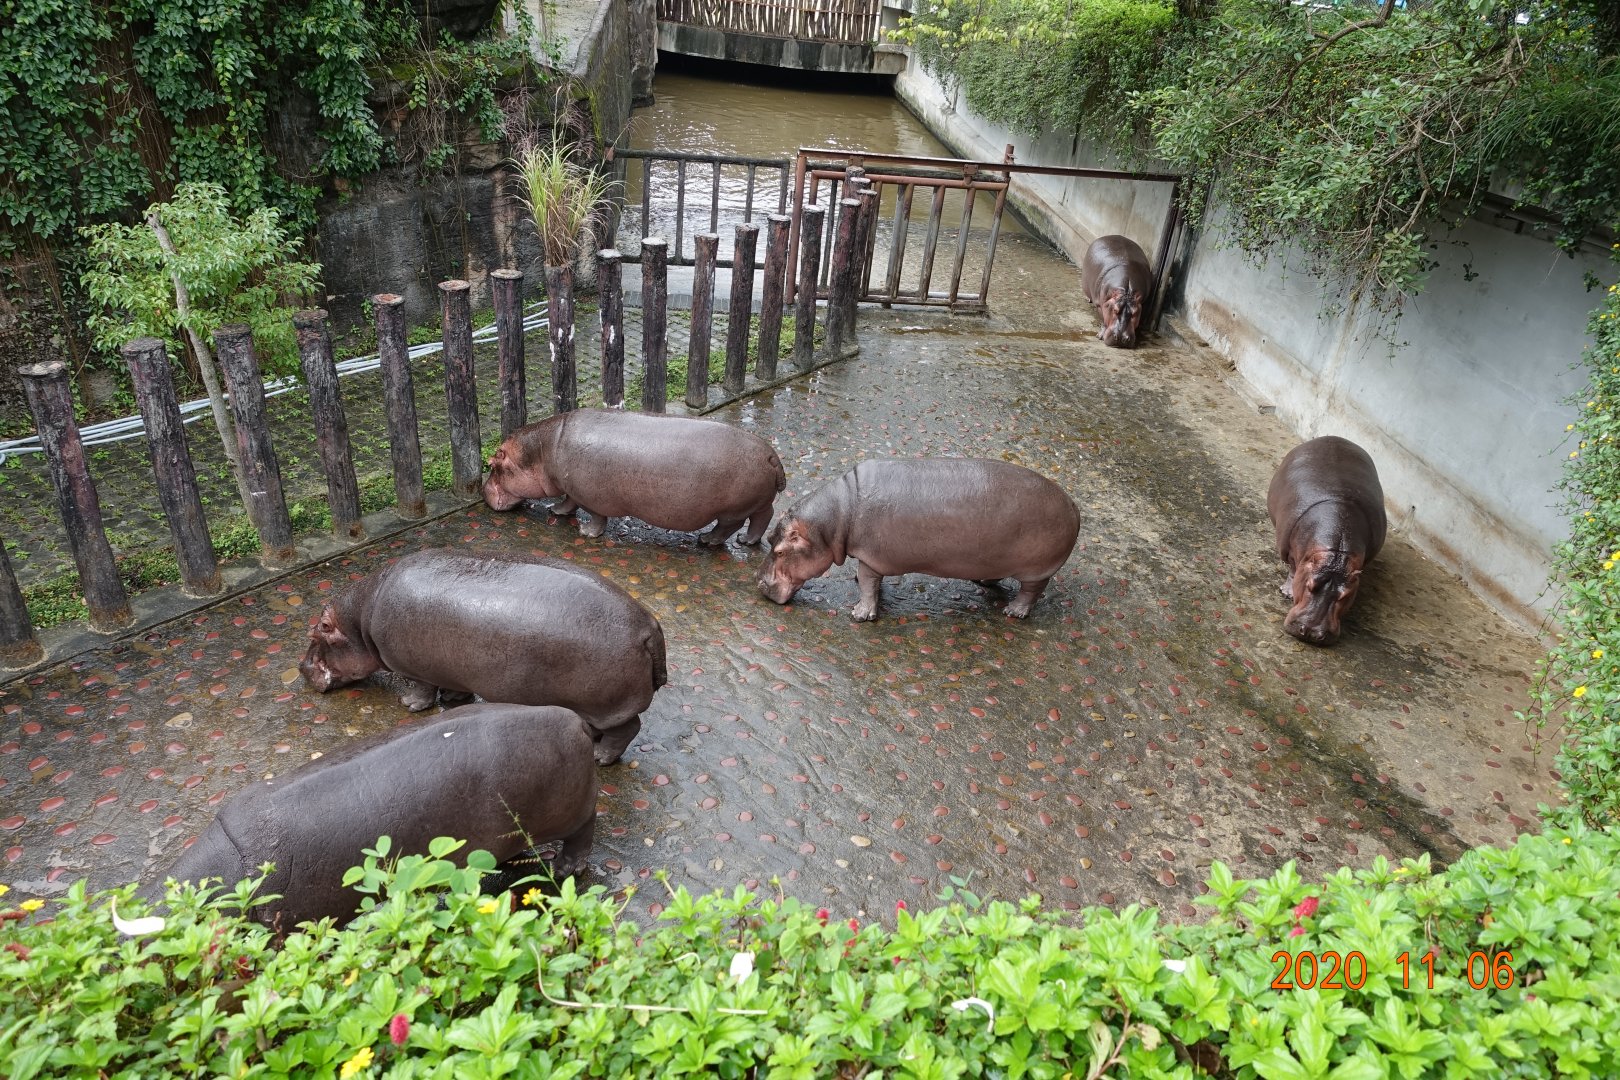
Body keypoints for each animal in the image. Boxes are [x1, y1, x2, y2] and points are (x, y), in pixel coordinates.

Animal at [299, 549, 666, 764]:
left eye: (317, 632)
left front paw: (409, 704)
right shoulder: (450, 666)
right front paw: (453, 698)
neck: (359, 619)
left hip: (607, 704)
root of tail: (648, 627)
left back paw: (599, 756)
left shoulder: (414, 668)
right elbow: (453, 686)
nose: (301, 667)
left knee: (628, 728)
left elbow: (421, 689)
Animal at [483, 409, 787, 546]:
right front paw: (555, 511)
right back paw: (747, 542)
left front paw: (586, 532)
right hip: (758, 502)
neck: (543, 451)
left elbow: (595, 516)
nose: (483, 491)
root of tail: (771, 456)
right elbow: (568, 501)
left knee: (729, 526)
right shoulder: (571, 488)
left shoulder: (591, 497)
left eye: (493, 465)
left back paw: (707, 540)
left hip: (731, 510)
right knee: (764, 516)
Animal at [757, 458, 1081, 621]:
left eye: (781, 550)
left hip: (1037, 569)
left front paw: (860, 614)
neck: (837, 517)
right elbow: (873, 583)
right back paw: (984, 582)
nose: (758, 583)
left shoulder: (870, 557)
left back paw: (1014, 612)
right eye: (770, 537)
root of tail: (1072, 504)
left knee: (1032, 591)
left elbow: (868, 583)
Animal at [1267, 435, 1387, 646]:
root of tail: (1333, 437)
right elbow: (1293, 568)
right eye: (1309, 585)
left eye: (1345, 595)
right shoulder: (1290, 551)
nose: (1311, 632)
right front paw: (1287, 592)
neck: (1336, 555)